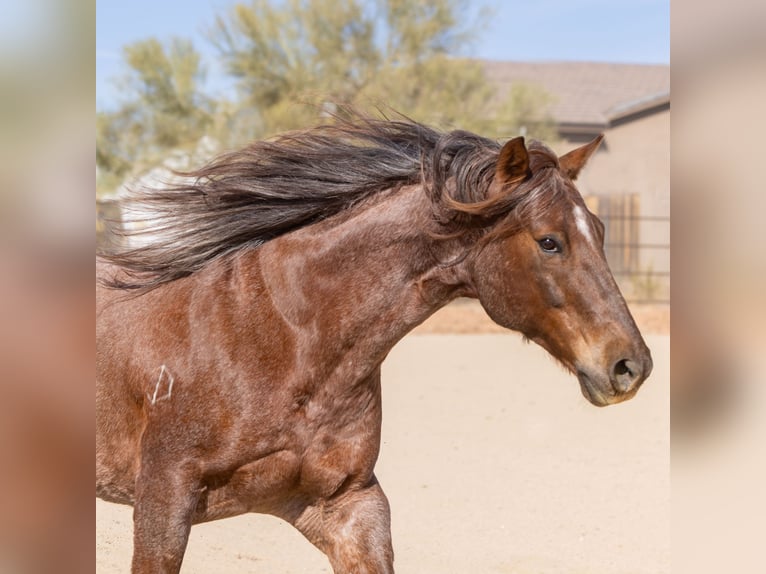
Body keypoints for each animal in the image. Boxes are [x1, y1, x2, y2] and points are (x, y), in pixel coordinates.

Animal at [96, 115, 656, 572]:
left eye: (600, 230)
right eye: (549, 241)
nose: (631, 365)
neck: (278, 338)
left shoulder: (349, 506)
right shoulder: (164, 500)